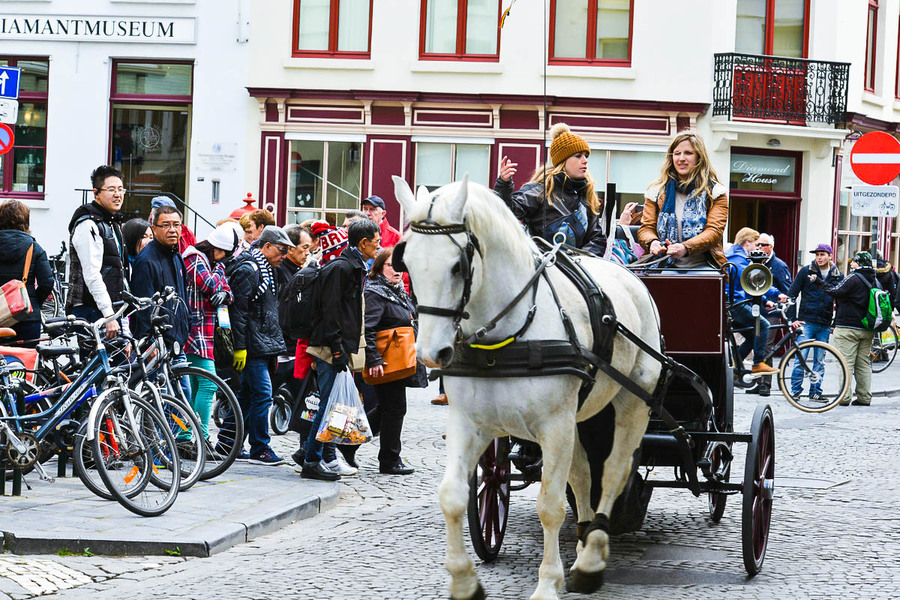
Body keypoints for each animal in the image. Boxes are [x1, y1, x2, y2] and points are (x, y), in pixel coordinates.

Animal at [396, 176, 668, 600]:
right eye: (405, 262)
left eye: (457, 266)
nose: (429, 353)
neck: (505, 338)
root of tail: (631, 277)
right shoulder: (469, 423)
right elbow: (452, 496)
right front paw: (464, 580)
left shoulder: (554, 426)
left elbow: (550, 506)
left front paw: (547, 583)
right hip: (576, 417)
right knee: (583, 474)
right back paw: (583, 541)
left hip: (632, 402)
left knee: (613, 471)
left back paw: (592, 557)